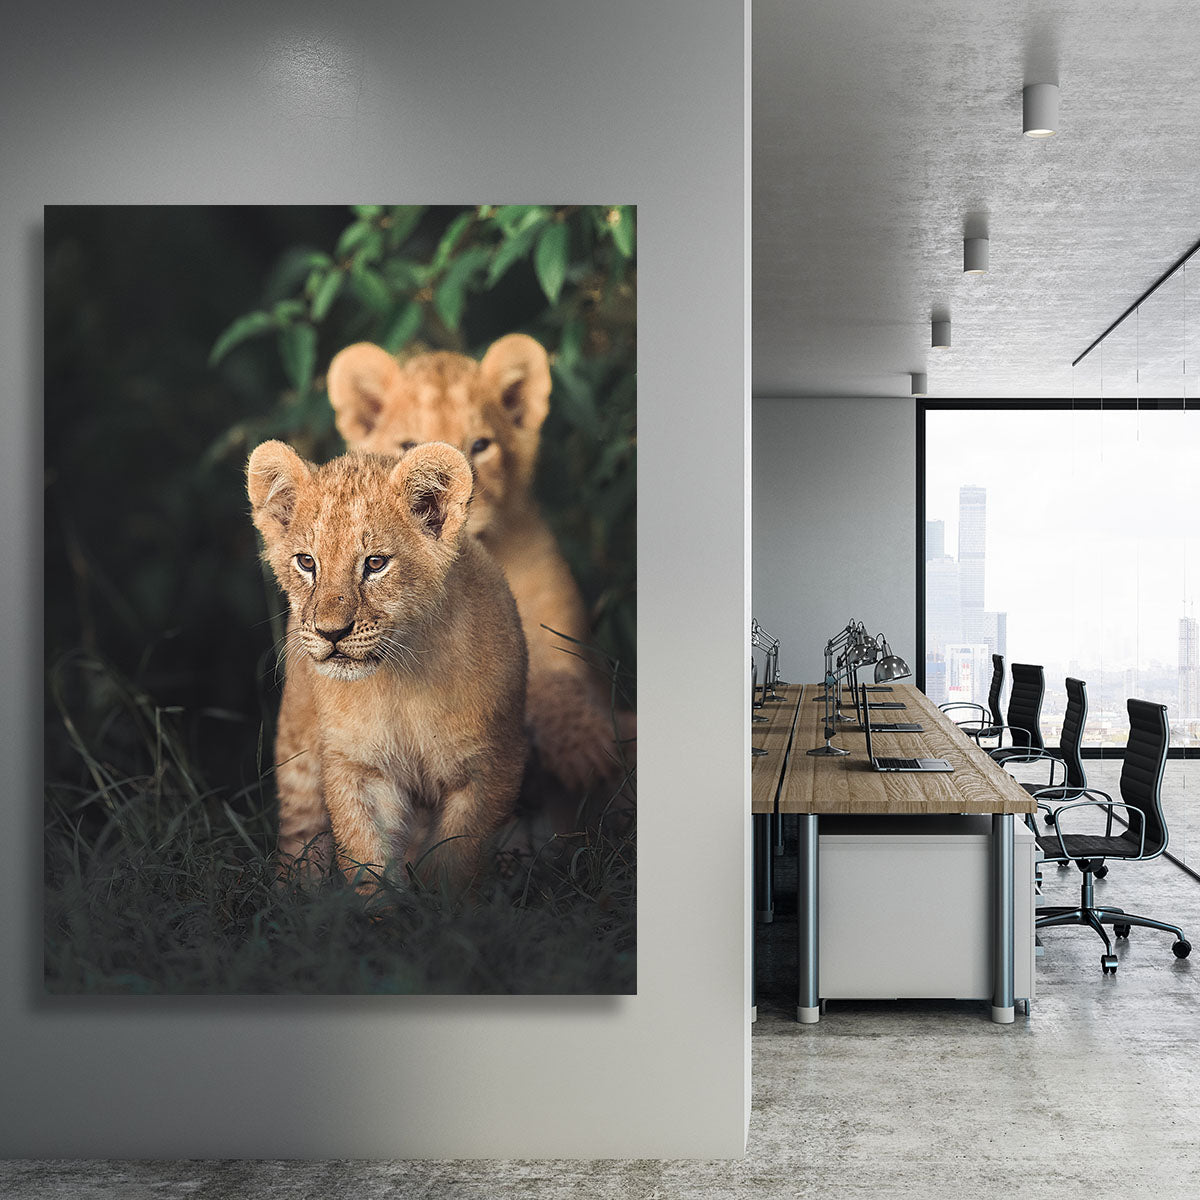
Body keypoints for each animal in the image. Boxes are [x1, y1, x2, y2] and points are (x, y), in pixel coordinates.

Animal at [247, 439, 527, 892]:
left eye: (375, 564)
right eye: (306, 562)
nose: (330, 633)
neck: (402, 680)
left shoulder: (491, 767)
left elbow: (455, 862)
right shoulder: (357, 767)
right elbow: (367, 862)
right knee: (300, 837)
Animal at [326, 334, 633, 796]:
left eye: (481, 445)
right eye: (408, 447)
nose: (444, 502)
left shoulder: (552, 626)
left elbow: (556, 679)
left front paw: (587, 749)